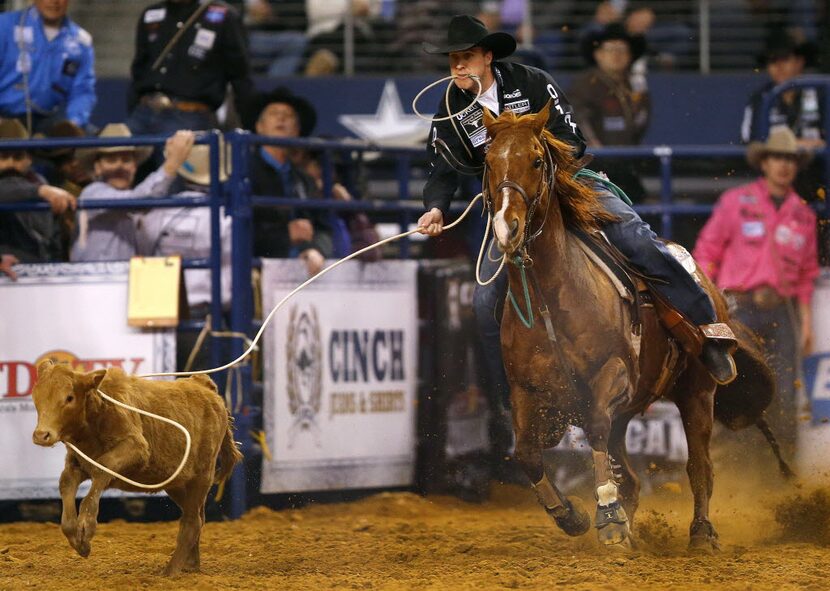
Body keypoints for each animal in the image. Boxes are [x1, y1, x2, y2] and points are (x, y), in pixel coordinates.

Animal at [30, 364, 242, 576]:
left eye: (69, 397)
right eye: (36, 395)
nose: (42, 435)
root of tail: (203, 385)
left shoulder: (137, 448)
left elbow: (103, 468)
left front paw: (86, 528)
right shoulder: (78, 463)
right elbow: (66, 482)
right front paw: (78, 539)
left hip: (202, 476)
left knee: (192, 521)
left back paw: (170, 571)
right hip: (176, 483)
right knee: (198, 517)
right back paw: (191, 564)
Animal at [480, 100, 788, 552]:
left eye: (536, 160)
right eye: (488, 162)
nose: (507, 227)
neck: (553, 298)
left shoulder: (612, 375)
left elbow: (594, 430)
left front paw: (608, 520)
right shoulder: (525, 390)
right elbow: (527, 454)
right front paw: (571, 515)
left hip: (697, 392)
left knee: (699, 466)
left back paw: (701, 534)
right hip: (629, 413)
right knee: (632, 478)